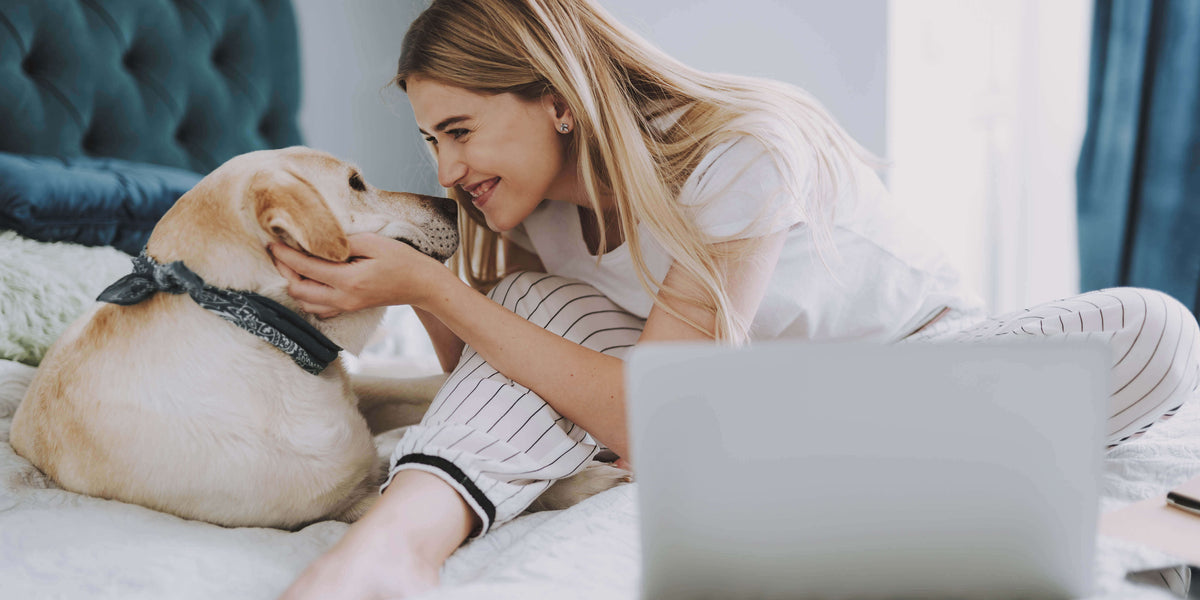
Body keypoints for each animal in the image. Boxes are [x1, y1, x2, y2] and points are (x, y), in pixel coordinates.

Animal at [9, 146, 624, 530]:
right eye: (354, 183)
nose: (452, 202)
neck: (253, 327)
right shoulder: (342, 505)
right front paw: (589, 482)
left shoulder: (357, 396)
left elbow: (428, 386)